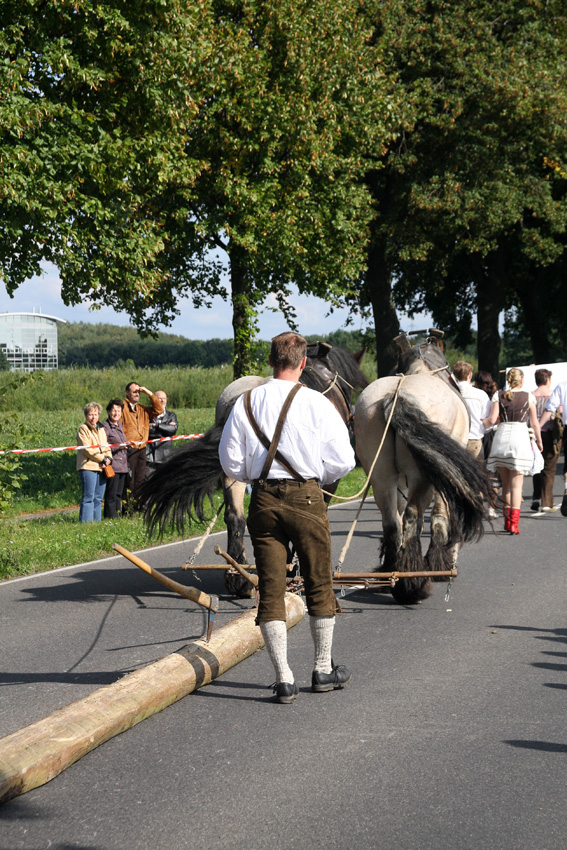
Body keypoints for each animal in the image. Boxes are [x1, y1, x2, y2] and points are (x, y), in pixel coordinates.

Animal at [358, 330, 494, 604]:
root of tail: (397, 396)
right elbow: (440, 515)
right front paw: (440, 563)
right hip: (421, 476)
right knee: (413, 517)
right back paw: (413, 584)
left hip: (380, 476)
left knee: (392, 522)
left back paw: (392, 573)